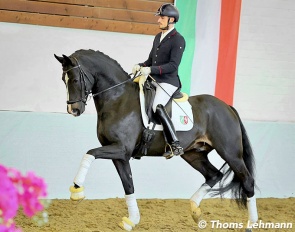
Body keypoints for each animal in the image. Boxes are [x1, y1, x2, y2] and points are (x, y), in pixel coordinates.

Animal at [55, 49, 260, 232]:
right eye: (63, 80)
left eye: (74, 79)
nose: (73, 110)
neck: (118, 99)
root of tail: (228, 107)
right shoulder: (119, 154)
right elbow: (128, 184)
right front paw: (132, 220)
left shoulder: (121, 149)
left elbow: (89, 154)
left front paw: (77, 190)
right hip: (194, 154)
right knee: (213, 175)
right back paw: (194, 209)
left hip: (230, 153)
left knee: (247, 181)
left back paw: (251, 224)